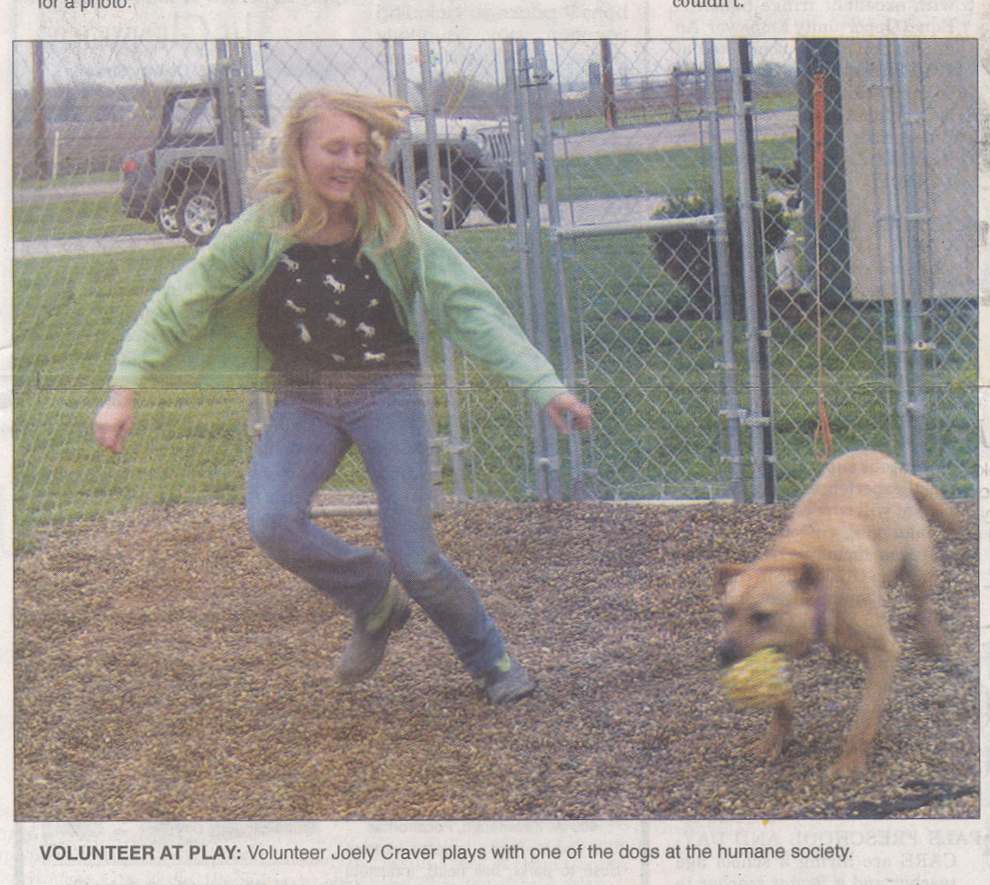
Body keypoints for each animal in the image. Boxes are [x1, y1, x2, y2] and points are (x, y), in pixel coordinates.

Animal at [720, 452, 960, 776]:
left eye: (762, 616)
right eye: (727, 612)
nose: (722, 654)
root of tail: (884, 459)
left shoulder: (882, 650)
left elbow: (864, 717)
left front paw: (850, 761)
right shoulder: (781, 651)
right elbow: (781, 701)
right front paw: (775, 738)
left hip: (916, 563)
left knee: (922, 602)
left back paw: (932, 639)